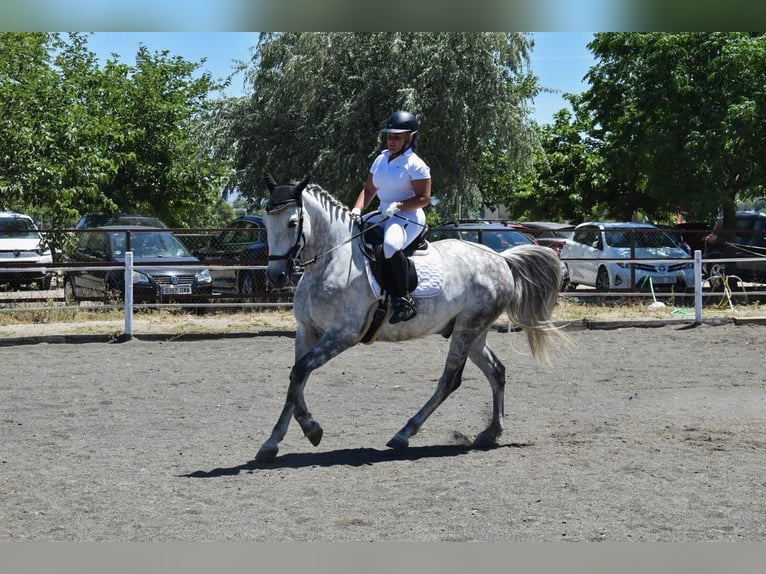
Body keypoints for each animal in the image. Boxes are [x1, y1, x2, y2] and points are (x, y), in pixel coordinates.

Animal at [258, 176, 568, 464]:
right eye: (266, 221)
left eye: (293, 223)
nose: (276, 276)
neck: (331, 260)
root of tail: (501, 258)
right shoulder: (306, 331)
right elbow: (297, 378)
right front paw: (272, 442)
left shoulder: (342, 334)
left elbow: (300, 371)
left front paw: (312, 429)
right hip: (473, 332)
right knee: (496, 371)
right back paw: (491, 433)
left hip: (468, 328)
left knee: (450, 380)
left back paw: (404, 433)